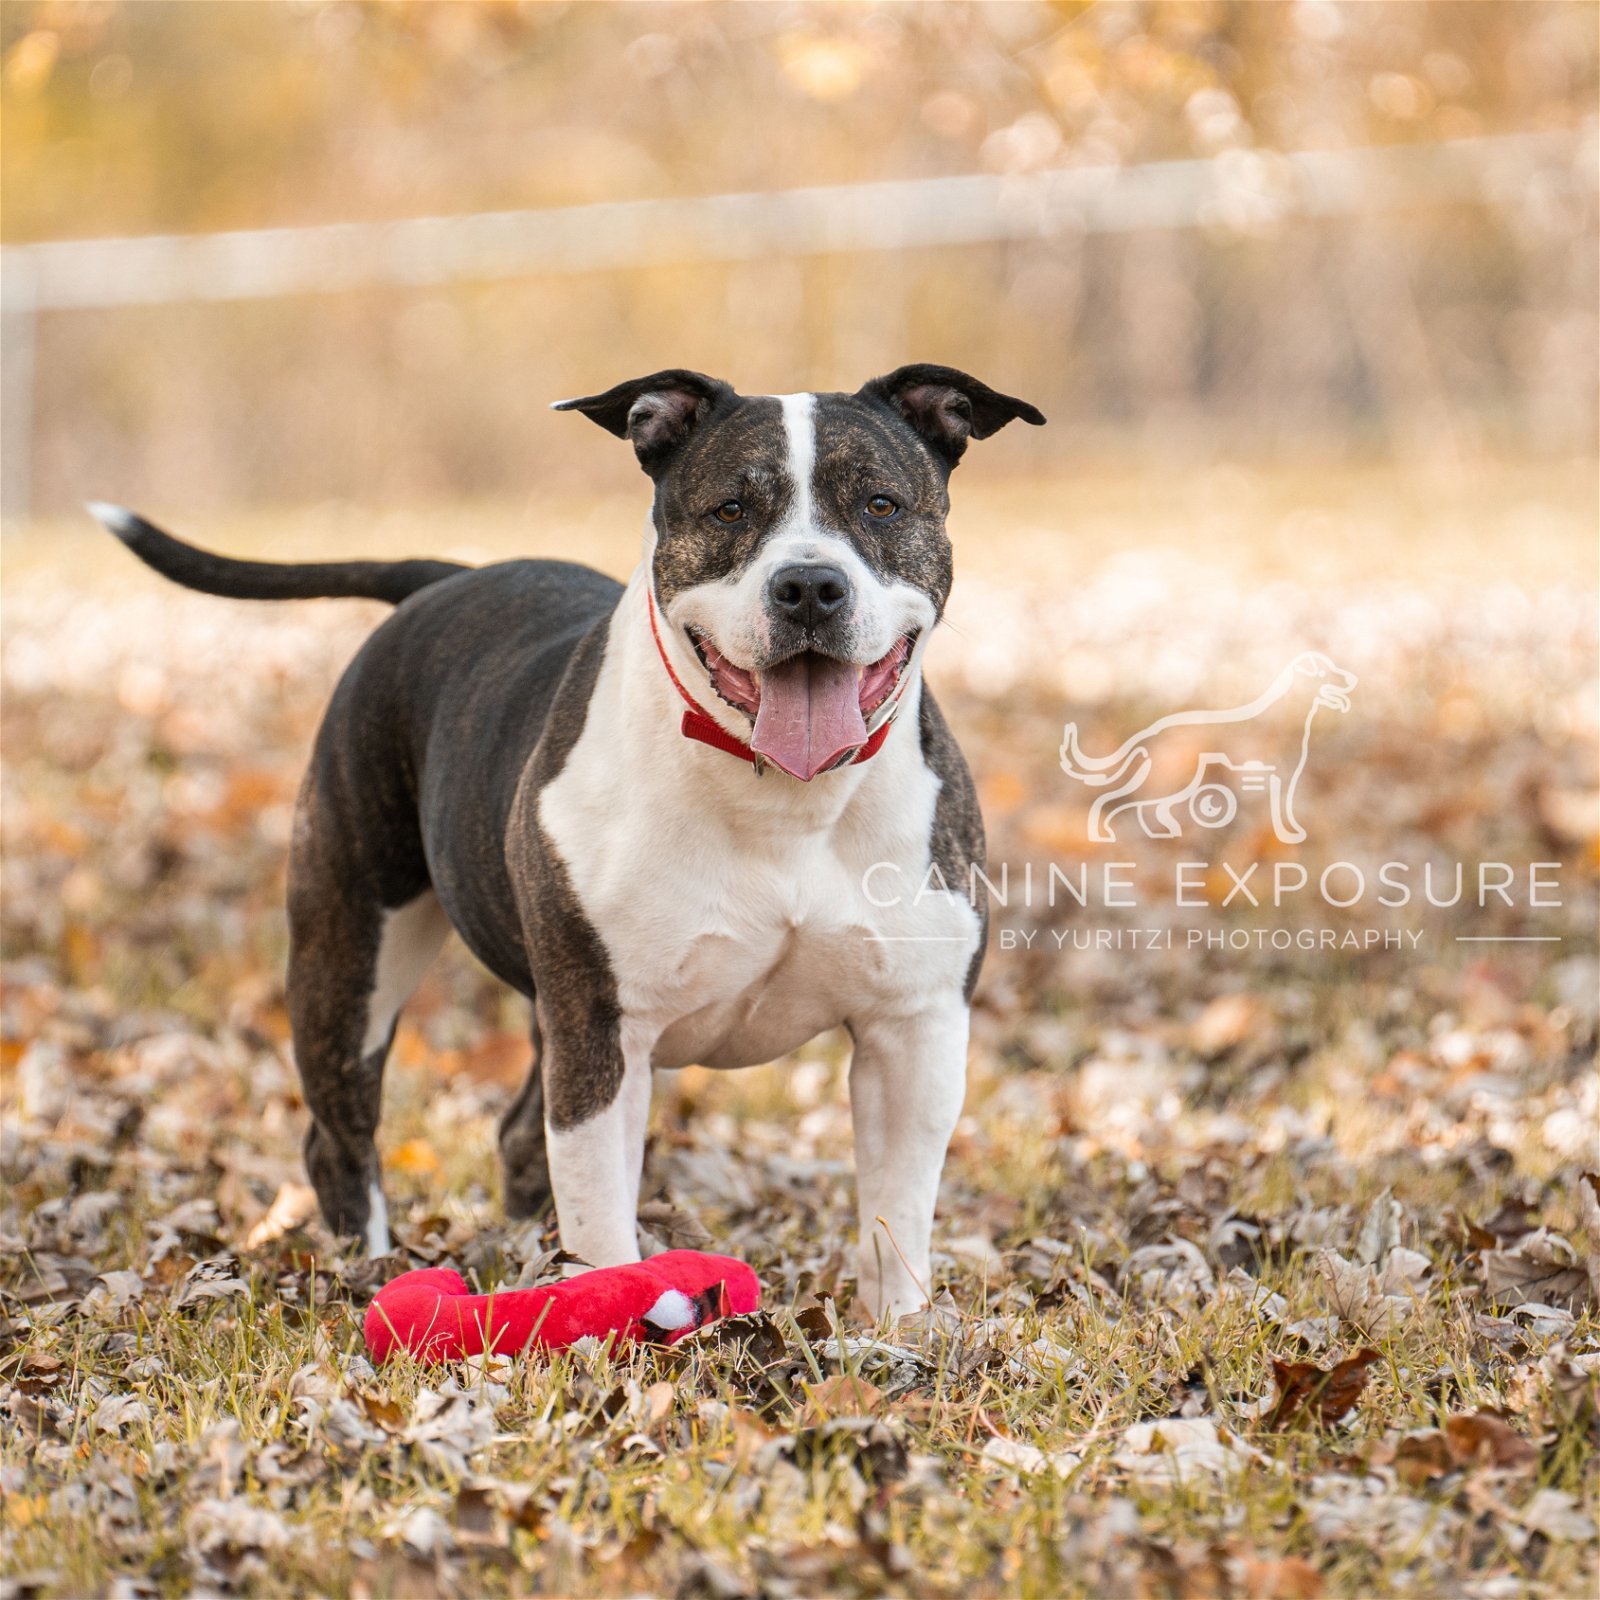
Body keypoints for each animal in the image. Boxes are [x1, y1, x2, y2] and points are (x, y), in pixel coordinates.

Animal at [100, 368, 1049, 1318]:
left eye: (881, 505)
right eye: (732, 509)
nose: (810, 585)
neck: (784, 796)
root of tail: (447, 581)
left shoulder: (913, 1031)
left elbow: (897, 1214)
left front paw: (899, 1334)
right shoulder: (601, 1032)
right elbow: (603, 1218)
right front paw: (623, 1324)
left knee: (519, 1134)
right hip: (349, 955)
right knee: (342, 1133)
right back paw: (368, 1268)